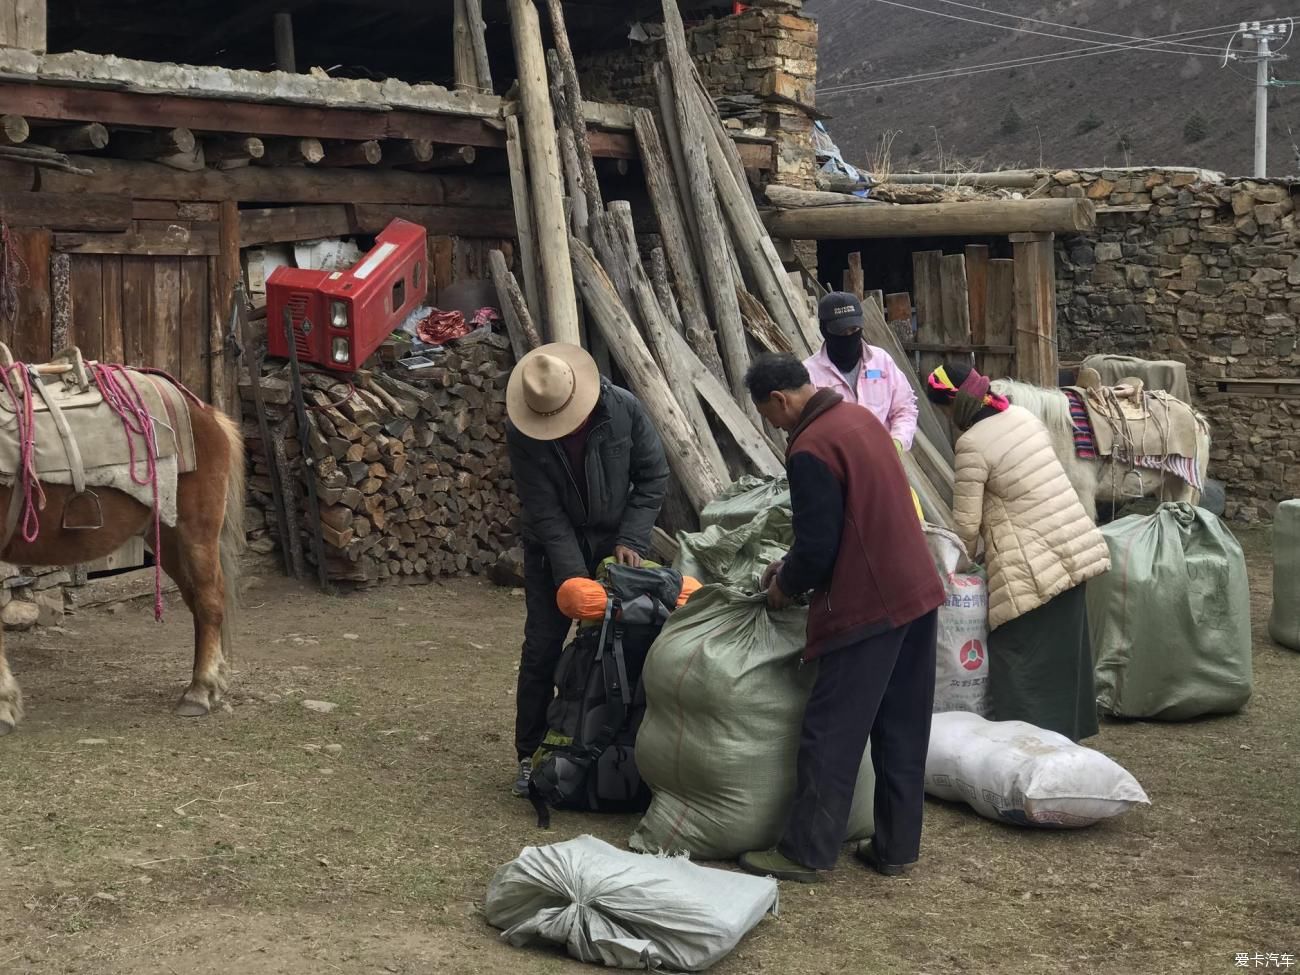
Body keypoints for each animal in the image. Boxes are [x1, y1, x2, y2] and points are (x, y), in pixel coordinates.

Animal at [0, 395, 244, 733]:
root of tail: (205, 411)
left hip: (197, 530)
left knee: (210, 599)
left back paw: (199, 692)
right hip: (166, 536)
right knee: (195, 599)